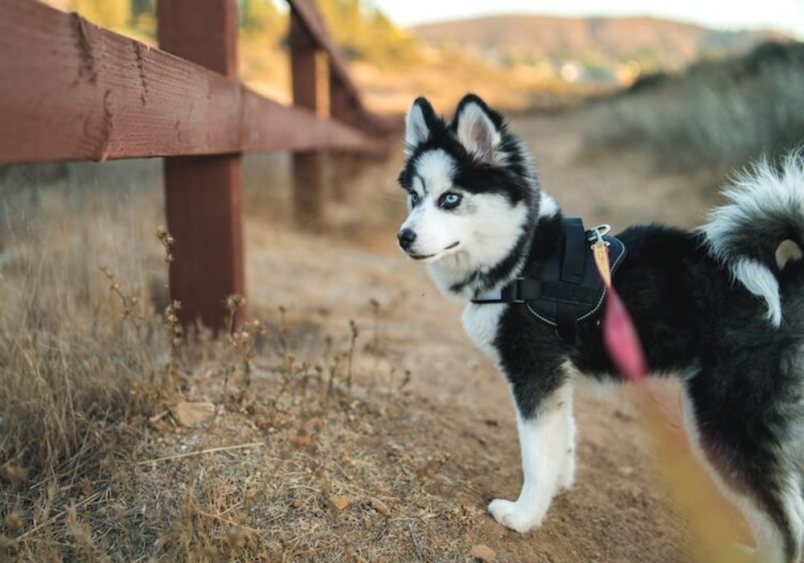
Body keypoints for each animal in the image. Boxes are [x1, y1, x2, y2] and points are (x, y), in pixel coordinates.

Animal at [398, 93, 804, 563]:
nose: (404, 237)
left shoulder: (534, 372)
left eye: (450, 198)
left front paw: (523, 516)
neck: (522, 256)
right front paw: (555, 489)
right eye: (414, 197)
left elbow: (535, 454)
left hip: (724, 418)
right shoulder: (556, 376)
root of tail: (786, 278)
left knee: (783, 520)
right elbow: (562, 438)